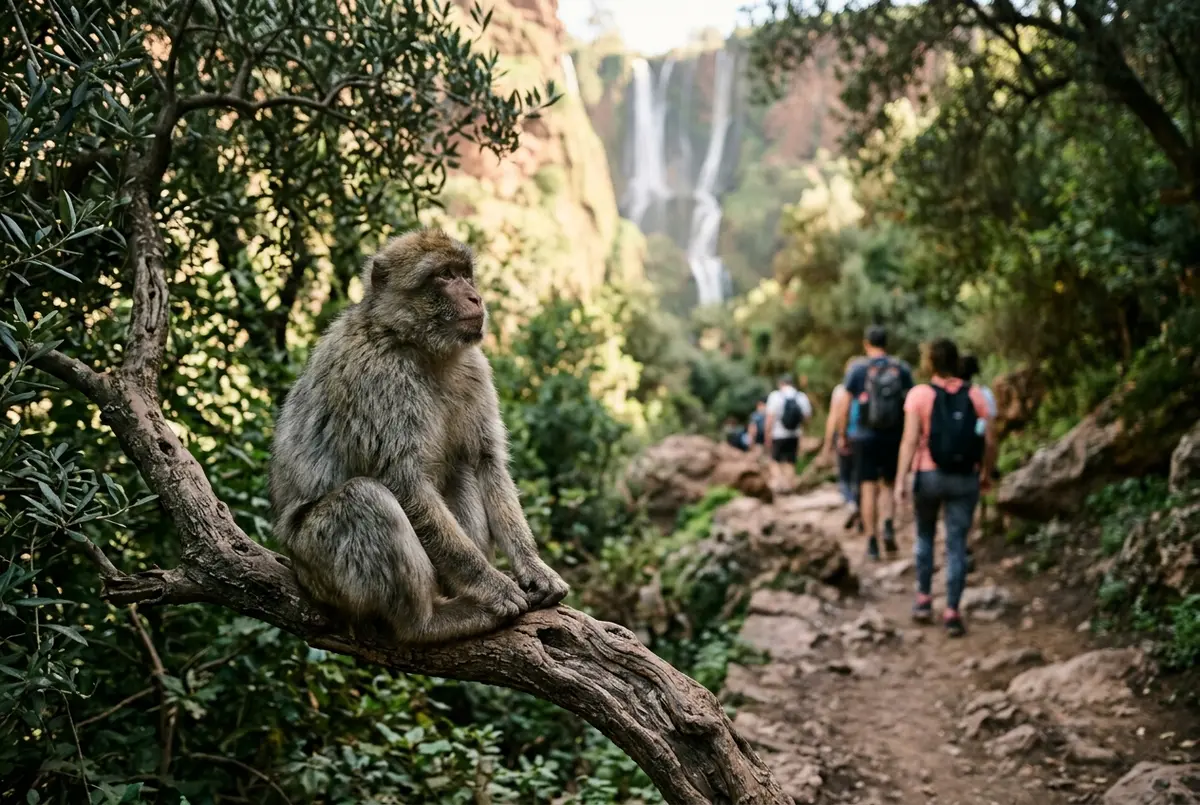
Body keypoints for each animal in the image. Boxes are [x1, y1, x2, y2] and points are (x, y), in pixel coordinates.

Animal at [268, 228, 570, 644]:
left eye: (464, 274)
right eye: (443, 276)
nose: (475, 297)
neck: (416, 344)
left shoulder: (475, 369)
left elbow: (486, 461)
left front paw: (533, 566)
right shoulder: (378, 379)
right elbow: (404, 481)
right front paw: (491, 583)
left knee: (461, 470)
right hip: (319, 563)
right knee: (364, 497)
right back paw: (428, 622)